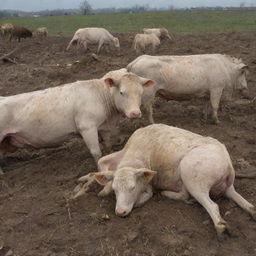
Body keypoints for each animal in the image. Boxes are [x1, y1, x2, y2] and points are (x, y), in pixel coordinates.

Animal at [0, 72, 154, 164]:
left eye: (141, 92)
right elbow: (96, 152)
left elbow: (108, 146)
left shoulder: (103, 127)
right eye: (122, 92)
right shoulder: (87, 127)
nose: (135, 113)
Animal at [75, 124, 255, 240]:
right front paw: (89, 183)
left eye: (132, 188)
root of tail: (228, 164)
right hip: (224, 185)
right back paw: (252, 211)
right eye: (115, 189)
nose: (120, 212)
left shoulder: (148, 179)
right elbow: (101, 163)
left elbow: (147, 194)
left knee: (209, 204)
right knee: (237, 197)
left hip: (192, 176)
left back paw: (220, 228)